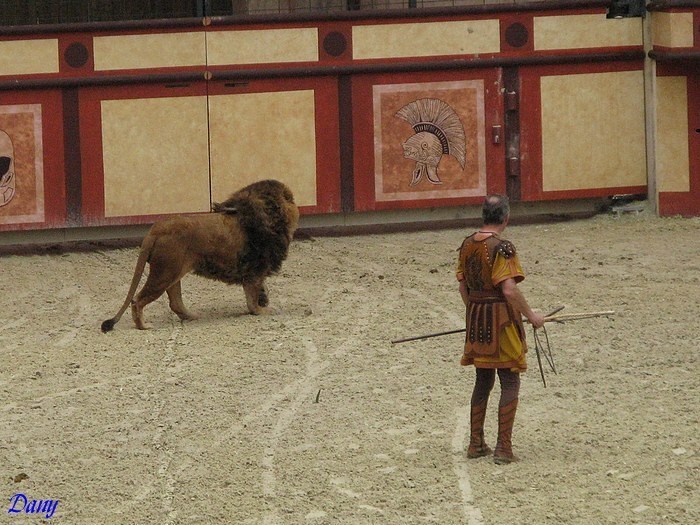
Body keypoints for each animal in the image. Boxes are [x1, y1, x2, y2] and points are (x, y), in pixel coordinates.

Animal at [100, 178, 298, 330]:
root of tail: (156, 229)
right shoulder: (255, 271)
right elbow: (252, 298)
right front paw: (262, 310)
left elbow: (258, 291)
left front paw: (264, 301)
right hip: (164, 274)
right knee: (138, 300)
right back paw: (144, 326)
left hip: (172, 273)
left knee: (175, 303)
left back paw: (192, 316)